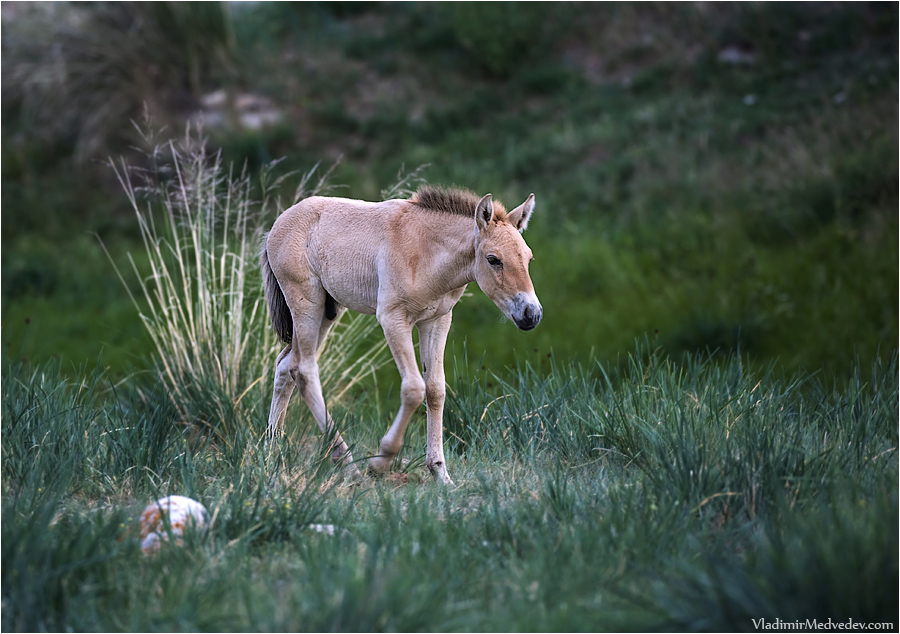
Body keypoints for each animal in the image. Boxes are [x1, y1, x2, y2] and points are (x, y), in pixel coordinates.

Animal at [260, 185, 540, 482]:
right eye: (493, 259)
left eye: (528, 257)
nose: (531, 314)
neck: (426, 250)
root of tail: (277, 225)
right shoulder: (393, 318)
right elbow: (414, 388)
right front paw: (381, 462)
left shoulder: (437, 320)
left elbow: (435, 389)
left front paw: (441, 473)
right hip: (306, 304)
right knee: (303, 370)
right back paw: (348, 464)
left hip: (327, 311)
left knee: (286, 366)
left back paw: (271, 452)